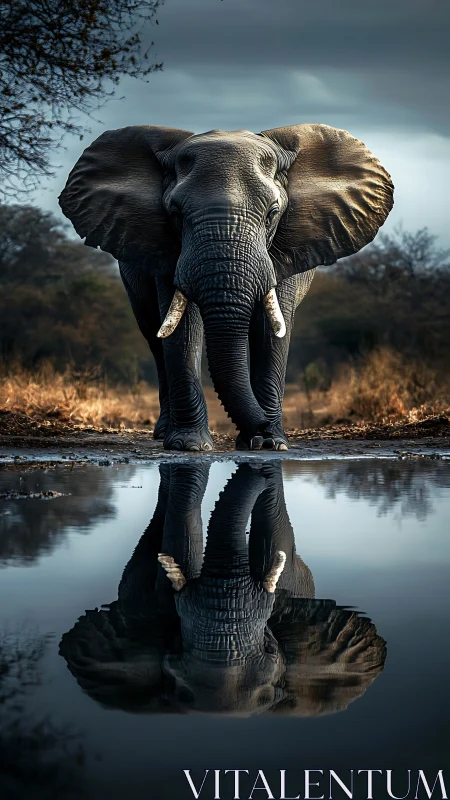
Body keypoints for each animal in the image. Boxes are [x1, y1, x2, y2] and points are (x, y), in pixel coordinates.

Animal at [59, 123, 394, 451]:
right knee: (153, 335)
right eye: (176, 214)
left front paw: (272, 444)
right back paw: (164, 432)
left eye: (273, 213)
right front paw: (189, 446)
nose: (260, 428)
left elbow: (270, 331)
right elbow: (184, 330)